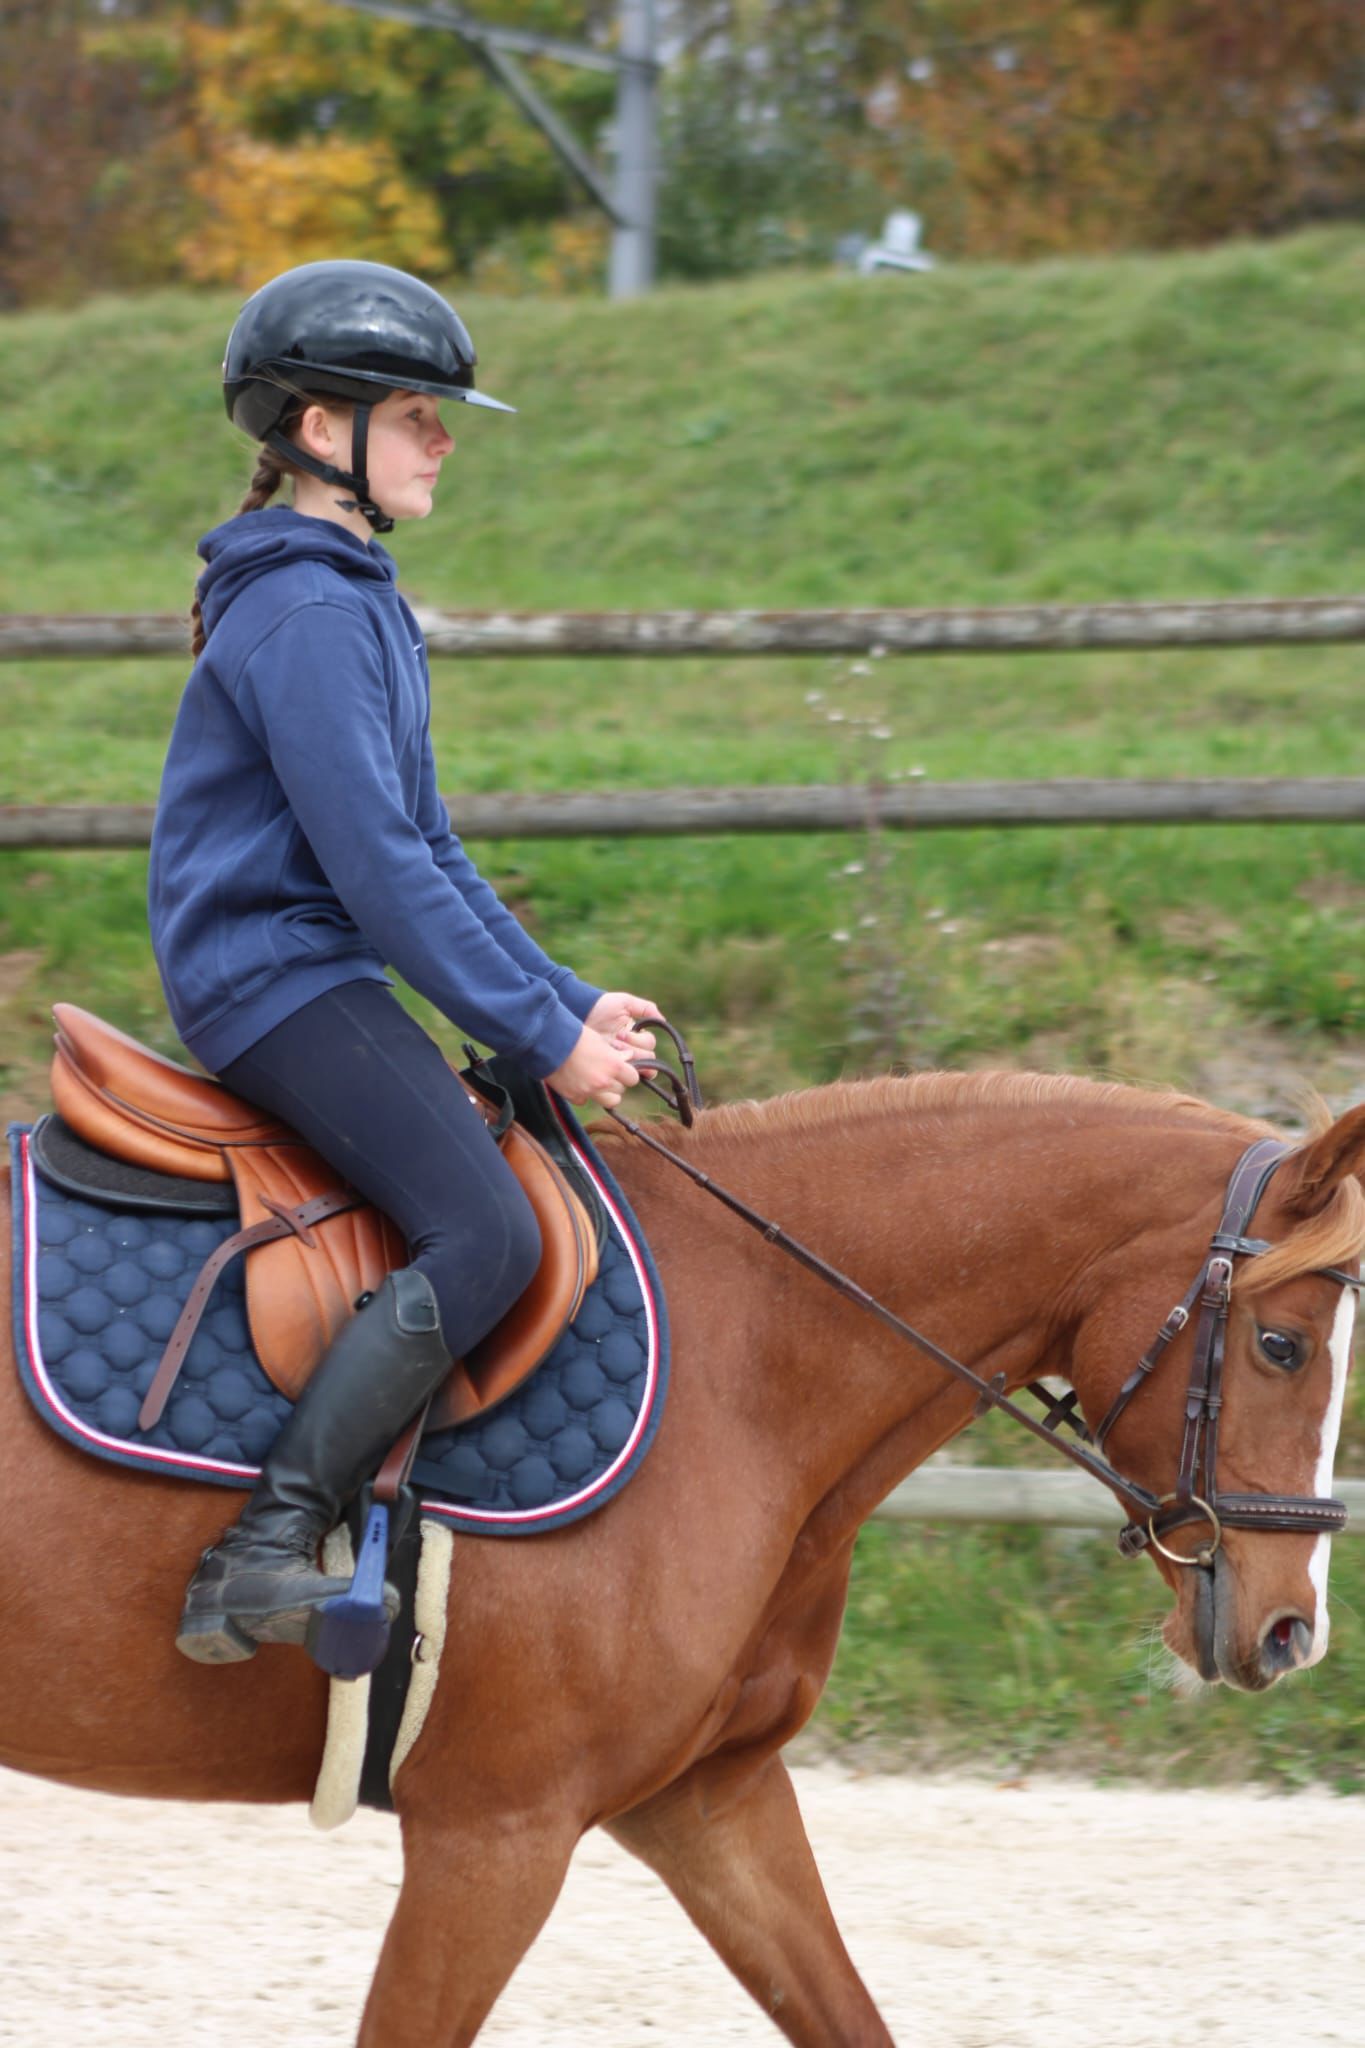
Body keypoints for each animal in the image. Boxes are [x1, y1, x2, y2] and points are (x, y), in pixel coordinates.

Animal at [2, 1068, 1362, 2047]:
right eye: (1284, 1345)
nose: (1294, 1629)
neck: (746, 1357)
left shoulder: (711, 1796)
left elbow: (847, 2013)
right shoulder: (492, 1836)